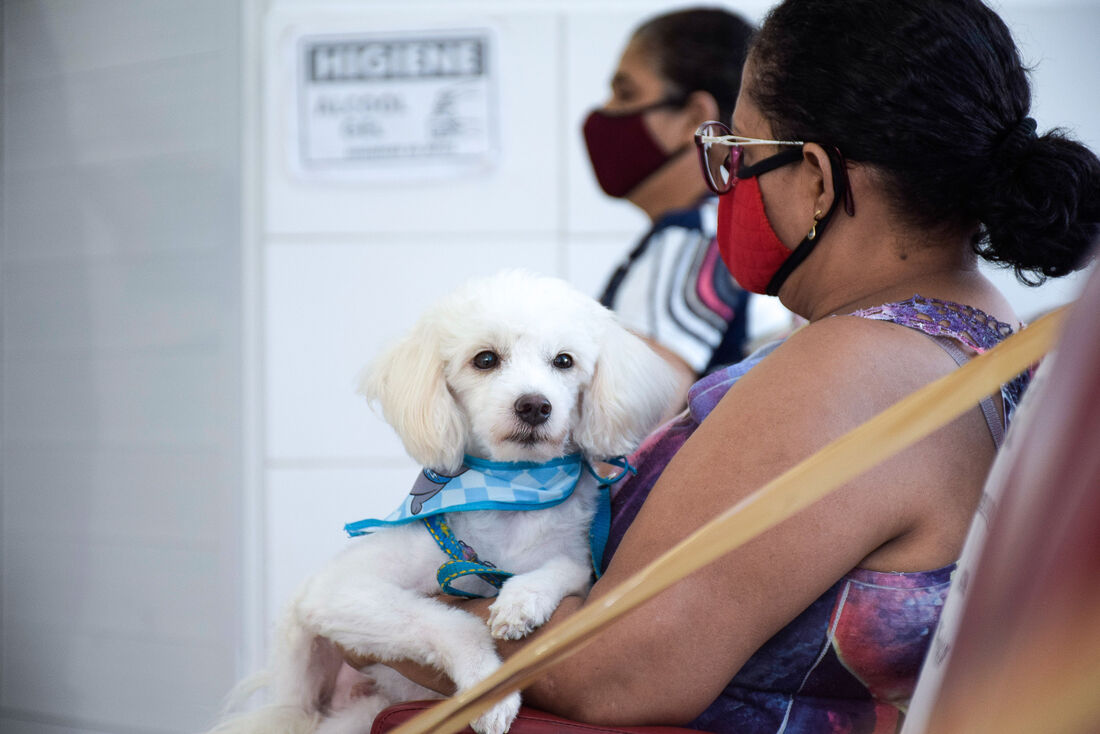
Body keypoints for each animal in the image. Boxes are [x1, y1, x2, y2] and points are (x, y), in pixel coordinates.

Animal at [210, 271, 677, 734]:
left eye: (564, 361)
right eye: (485, 359)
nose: (534, 405)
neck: (513, 489)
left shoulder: (579, 565)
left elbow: (563, 569)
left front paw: (522, 602)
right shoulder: (341, 591)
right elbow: (453, 624)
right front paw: (488, 691)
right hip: (302, 655)